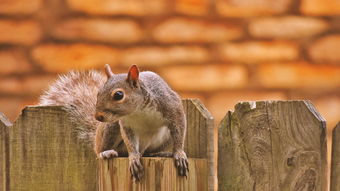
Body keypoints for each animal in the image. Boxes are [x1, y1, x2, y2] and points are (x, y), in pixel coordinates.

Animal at [40, 64, 190, 181]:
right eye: (98, 92)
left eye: (118, 95)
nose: (98, 116)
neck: (139, 110)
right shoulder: (126, 124)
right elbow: (130, 142)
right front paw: (133, 158)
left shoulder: (173, 107)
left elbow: (179, 129)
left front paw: (179, 153)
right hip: (111, 127)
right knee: (99, 151)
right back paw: (106, 153)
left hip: (163, 138)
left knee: (148, 151)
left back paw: (160, 154)